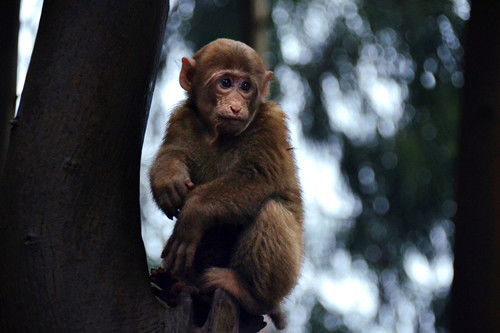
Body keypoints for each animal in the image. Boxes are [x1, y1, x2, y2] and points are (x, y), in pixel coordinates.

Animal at [148, 39, 302, 330]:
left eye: (246, 87)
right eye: (226, 82)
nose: (236, 106)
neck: (217, 135)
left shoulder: (271, 122)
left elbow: (261, 176)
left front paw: (193, 214)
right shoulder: (183, 118)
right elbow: (172, 151)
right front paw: (168, 179)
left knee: (272, 209)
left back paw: (247, 292)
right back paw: (178, 284)